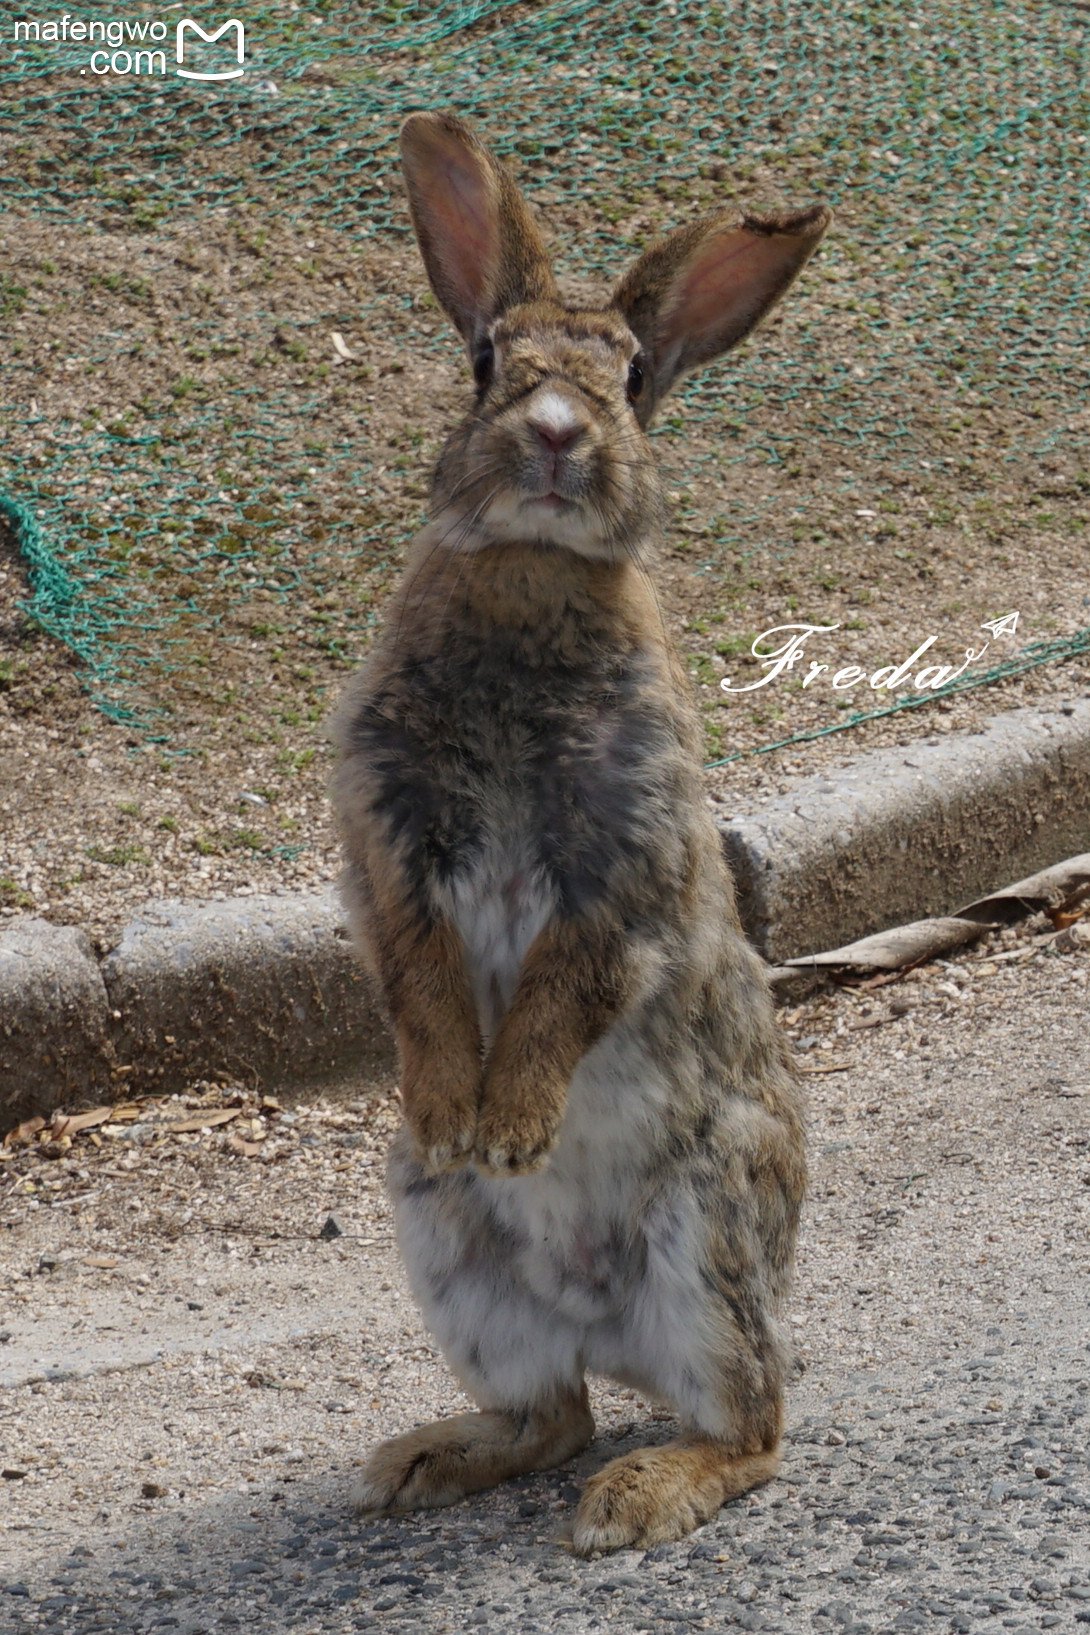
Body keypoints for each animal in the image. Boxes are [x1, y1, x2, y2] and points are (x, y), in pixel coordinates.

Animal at [333, 111, 826, 1543]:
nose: (555, 436)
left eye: (636, 376)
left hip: (704, 1236)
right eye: (485, 362)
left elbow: (569, 983)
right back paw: (423, 1462)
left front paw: (512, 1127)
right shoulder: (389, 843)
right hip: (446, 1250)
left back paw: (638, 1498)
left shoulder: (626, 862)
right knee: (550, 1415)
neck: (529, 573)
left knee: (751, 1430)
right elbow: (421, 975)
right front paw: (461, 1117)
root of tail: (608, 1328)